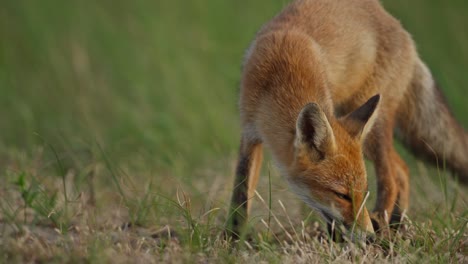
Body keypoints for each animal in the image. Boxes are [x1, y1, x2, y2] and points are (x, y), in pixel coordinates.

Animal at [226, 0, 464, 238]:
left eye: (363, 194)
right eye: (342, 195)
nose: (368, 236)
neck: (280, 75)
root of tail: (393, 21)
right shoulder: (250, 131)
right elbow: (240, 194)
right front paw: (234, 238)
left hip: (368, 123)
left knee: (391, 177)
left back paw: (384, 223)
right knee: (403, 169)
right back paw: (397, 225)